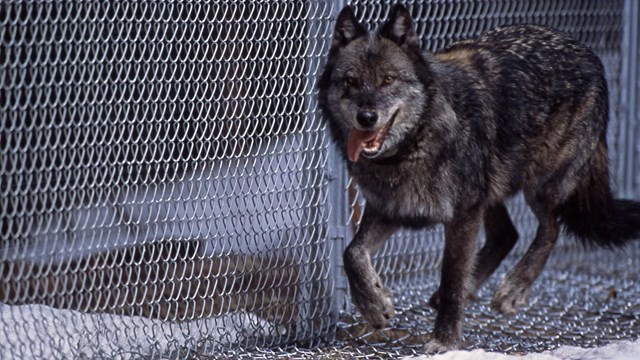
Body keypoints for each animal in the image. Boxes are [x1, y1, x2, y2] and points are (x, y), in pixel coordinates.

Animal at [318, 4, 640, 352]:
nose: (366, 117)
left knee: (550, 228)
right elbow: (352, 254)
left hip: (538, 185)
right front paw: (374, 305)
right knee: (507, 234)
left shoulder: (462, 216)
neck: (414, 144)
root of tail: (588, 53)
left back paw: (514, 288)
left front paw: (444, 341)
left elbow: (451, 277)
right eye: (350, 81)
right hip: (491, 189)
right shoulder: (390, 209)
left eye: (388, 79)